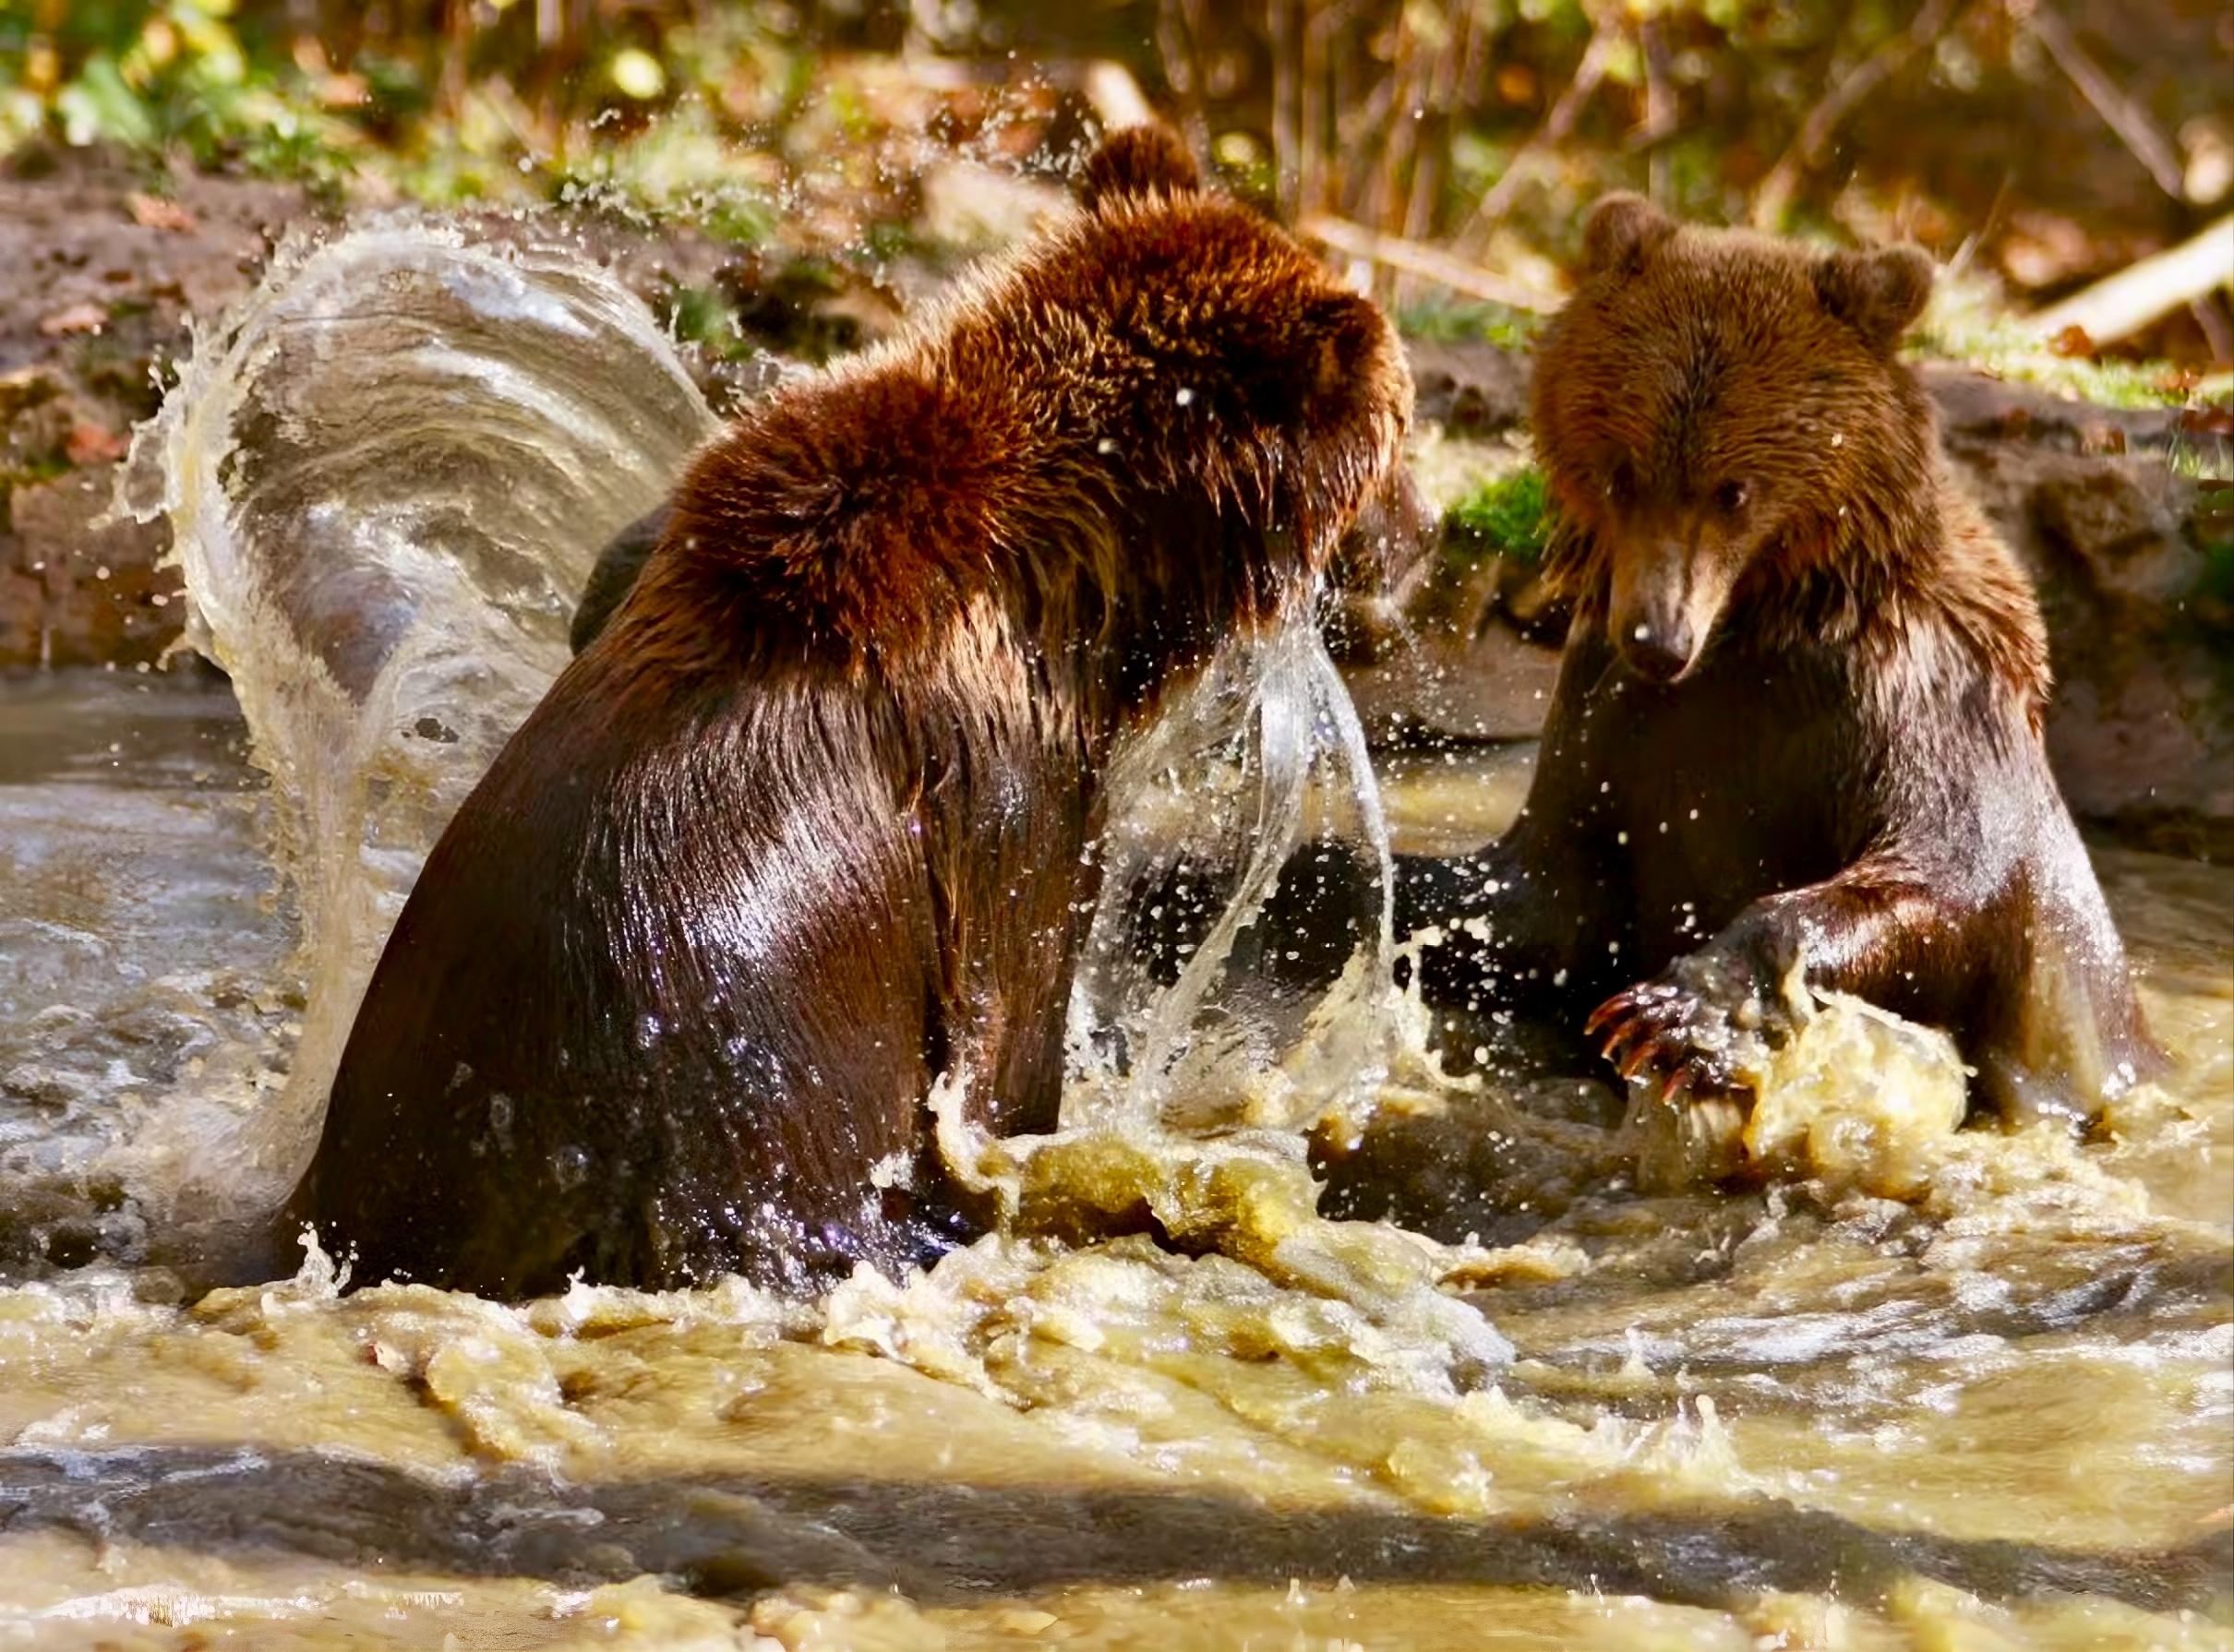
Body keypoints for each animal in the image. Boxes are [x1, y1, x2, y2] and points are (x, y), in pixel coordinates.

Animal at [1400, 193, 2154, 1130]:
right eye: (1623, 472)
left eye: (1734, 490)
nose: (1657, 639)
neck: (1762, 619)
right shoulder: (1604, 720)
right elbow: (1538, 885)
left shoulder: (1908, 703)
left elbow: (1941, 877)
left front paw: (1670, 1017)